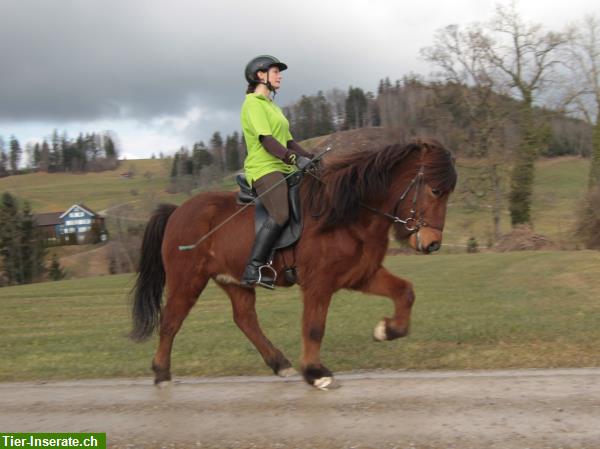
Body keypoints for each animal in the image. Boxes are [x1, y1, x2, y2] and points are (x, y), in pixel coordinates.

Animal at [131, 137, 458, 388]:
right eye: (435, 190)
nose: (432, 243)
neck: (348, 213)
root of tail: (177, 211)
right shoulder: (318, 283)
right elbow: (314, 327)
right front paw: (315, 372)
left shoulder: (361, 274)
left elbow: (405, 292)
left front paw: (387, 330)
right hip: (187, 279)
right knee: (171, 321)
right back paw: (161, 374)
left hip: (234, 280)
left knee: (245, 319)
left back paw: (279, 363)